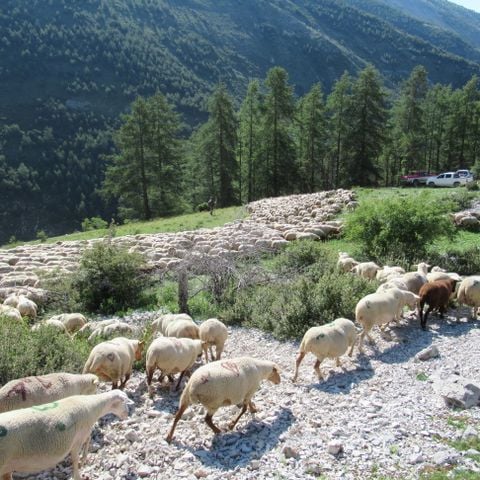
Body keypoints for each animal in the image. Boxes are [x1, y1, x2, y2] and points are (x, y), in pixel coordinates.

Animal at [0, 390, 133, 480]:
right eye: (124, 402)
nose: (127, 414)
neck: (93, 406)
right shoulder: (78, 439)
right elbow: (75, 458)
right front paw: (78, 472)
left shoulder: (84, 433)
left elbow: (88, 439)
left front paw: (83, 460)